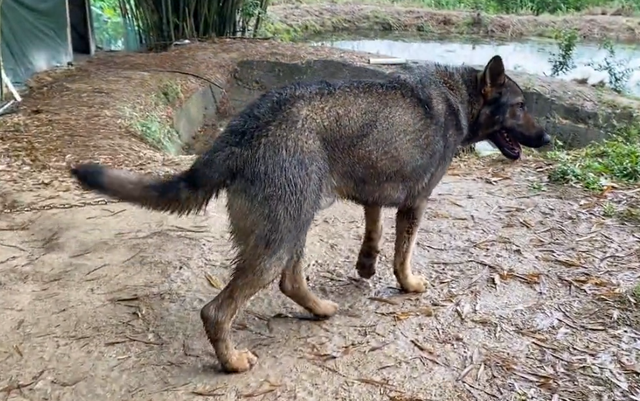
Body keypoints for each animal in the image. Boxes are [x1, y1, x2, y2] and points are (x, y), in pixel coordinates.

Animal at [70, 55, 552, 372]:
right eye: (521, 106)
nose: (547, 138)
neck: (460, 97)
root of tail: (242, 128)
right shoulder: (415, 203)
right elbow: (404, 254)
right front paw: (408, 283)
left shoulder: (373, 192)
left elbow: (374, 231)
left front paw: (366, 264)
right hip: (280, 236)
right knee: (217, 311)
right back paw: (232, 361)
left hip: (293, 225)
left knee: (290, 281)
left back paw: (320, 309)